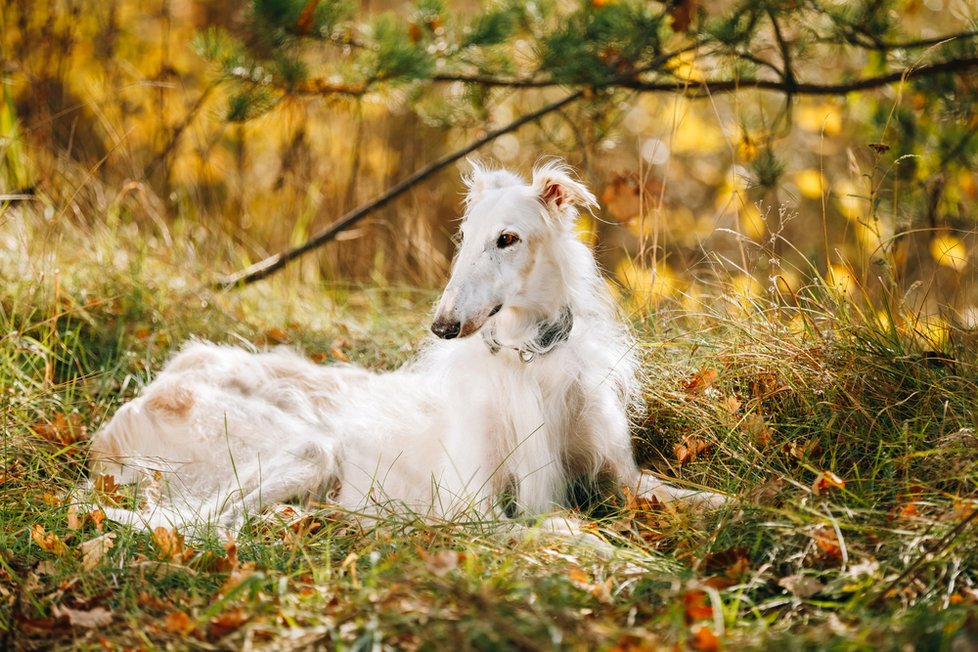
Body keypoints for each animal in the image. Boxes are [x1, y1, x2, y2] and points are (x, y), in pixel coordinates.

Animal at [89, 162, 716, 536]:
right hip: (305, 449)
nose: (442, 326)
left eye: (507, 239)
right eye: (464, 237)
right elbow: (560, 531)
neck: (529, 359)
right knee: (196, 524)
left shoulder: (627, 479)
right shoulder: (471, 512)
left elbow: (699, 497)